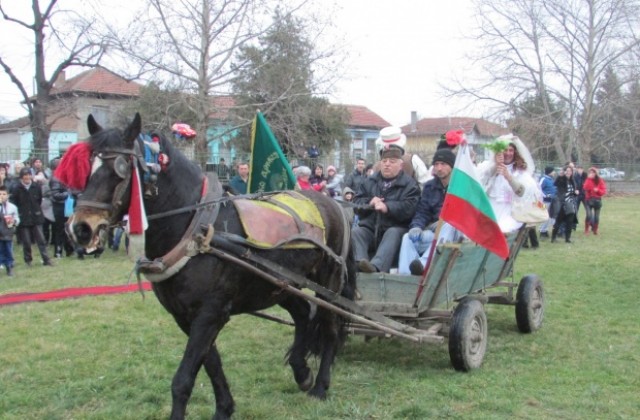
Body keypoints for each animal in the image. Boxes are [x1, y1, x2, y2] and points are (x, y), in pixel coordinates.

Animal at [62, 111, 358, 420]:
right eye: (88, 167)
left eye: (120, 169)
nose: (80, 228)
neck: (197, 228)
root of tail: (335, 206)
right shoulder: (186, 316)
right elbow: (211, 363)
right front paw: (224, 408)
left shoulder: (210, 313)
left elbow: (183, 378)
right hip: (278, 284)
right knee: (302, 314)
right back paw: (301, 372)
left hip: (328, 283)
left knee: (329, 327)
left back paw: (321, 386)